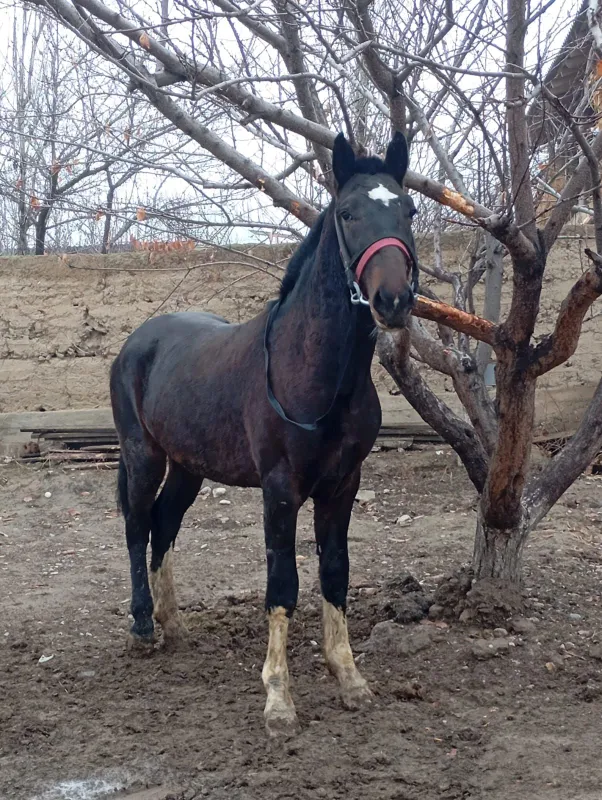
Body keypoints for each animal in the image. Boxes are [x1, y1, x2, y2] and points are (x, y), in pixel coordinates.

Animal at [110, 131, 418, 737]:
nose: (393, 300)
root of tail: (138, 342)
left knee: (163, 525)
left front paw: (350, 680)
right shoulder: (280, 490)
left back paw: (174, 625)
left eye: (409, 210)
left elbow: (335, 574)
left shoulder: (342, 487)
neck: (315, 377)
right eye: (348, 213)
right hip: (144, 457)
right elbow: (282, 585)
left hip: (188, 468)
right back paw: (143, 628)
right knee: (137, 526)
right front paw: (279, 700)